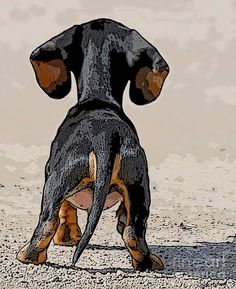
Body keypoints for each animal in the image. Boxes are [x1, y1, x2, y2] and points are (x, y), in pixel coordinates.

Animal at [17, 18, 168, 270]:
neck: (98, 98)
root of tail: (105, 136)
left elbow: (66, 210)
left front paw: (67, 237)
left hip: (57, 181)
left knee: (46, 223)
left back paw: (26, 255)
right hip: (139, 185)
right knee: (133, 232)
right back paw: (148, 261)